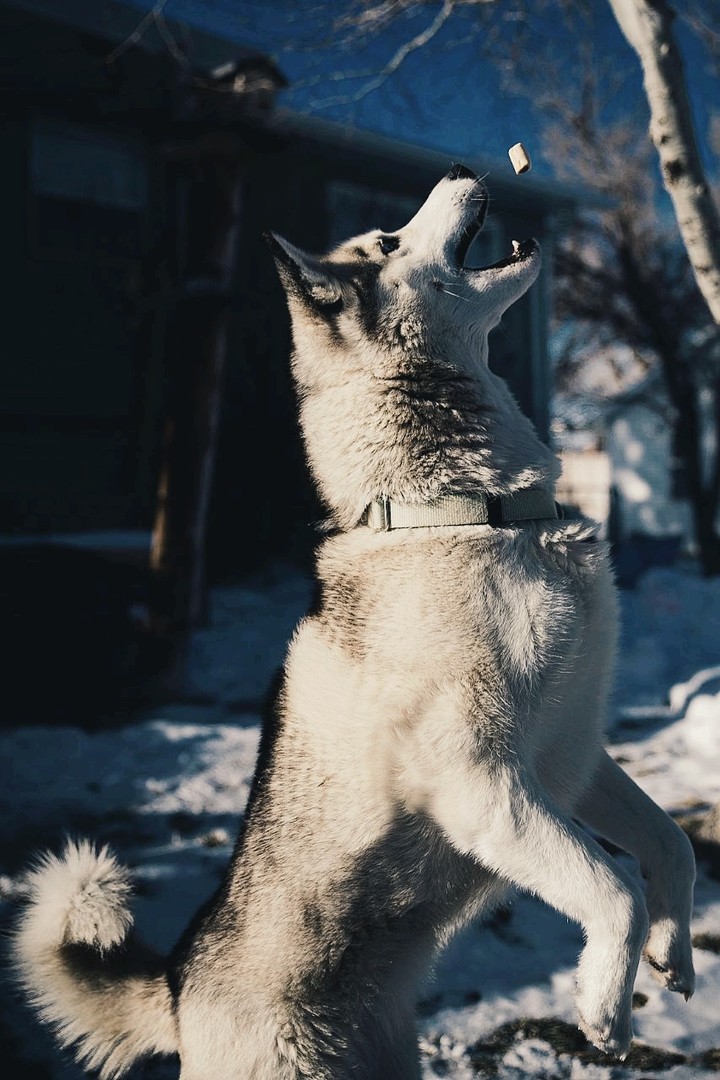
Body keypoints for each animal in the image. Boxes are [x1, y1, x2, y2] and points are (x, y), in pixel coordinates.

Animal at [15, 165, 696, 1080]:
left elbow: (671, 845)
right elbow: (613, 887)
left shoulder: (572, 760)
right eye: (386, 240)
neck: (463, 512)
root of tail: (179, 991)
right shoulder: (482, 787)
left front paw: (673, 953)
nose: (460, 172)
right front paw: (603, 1008)